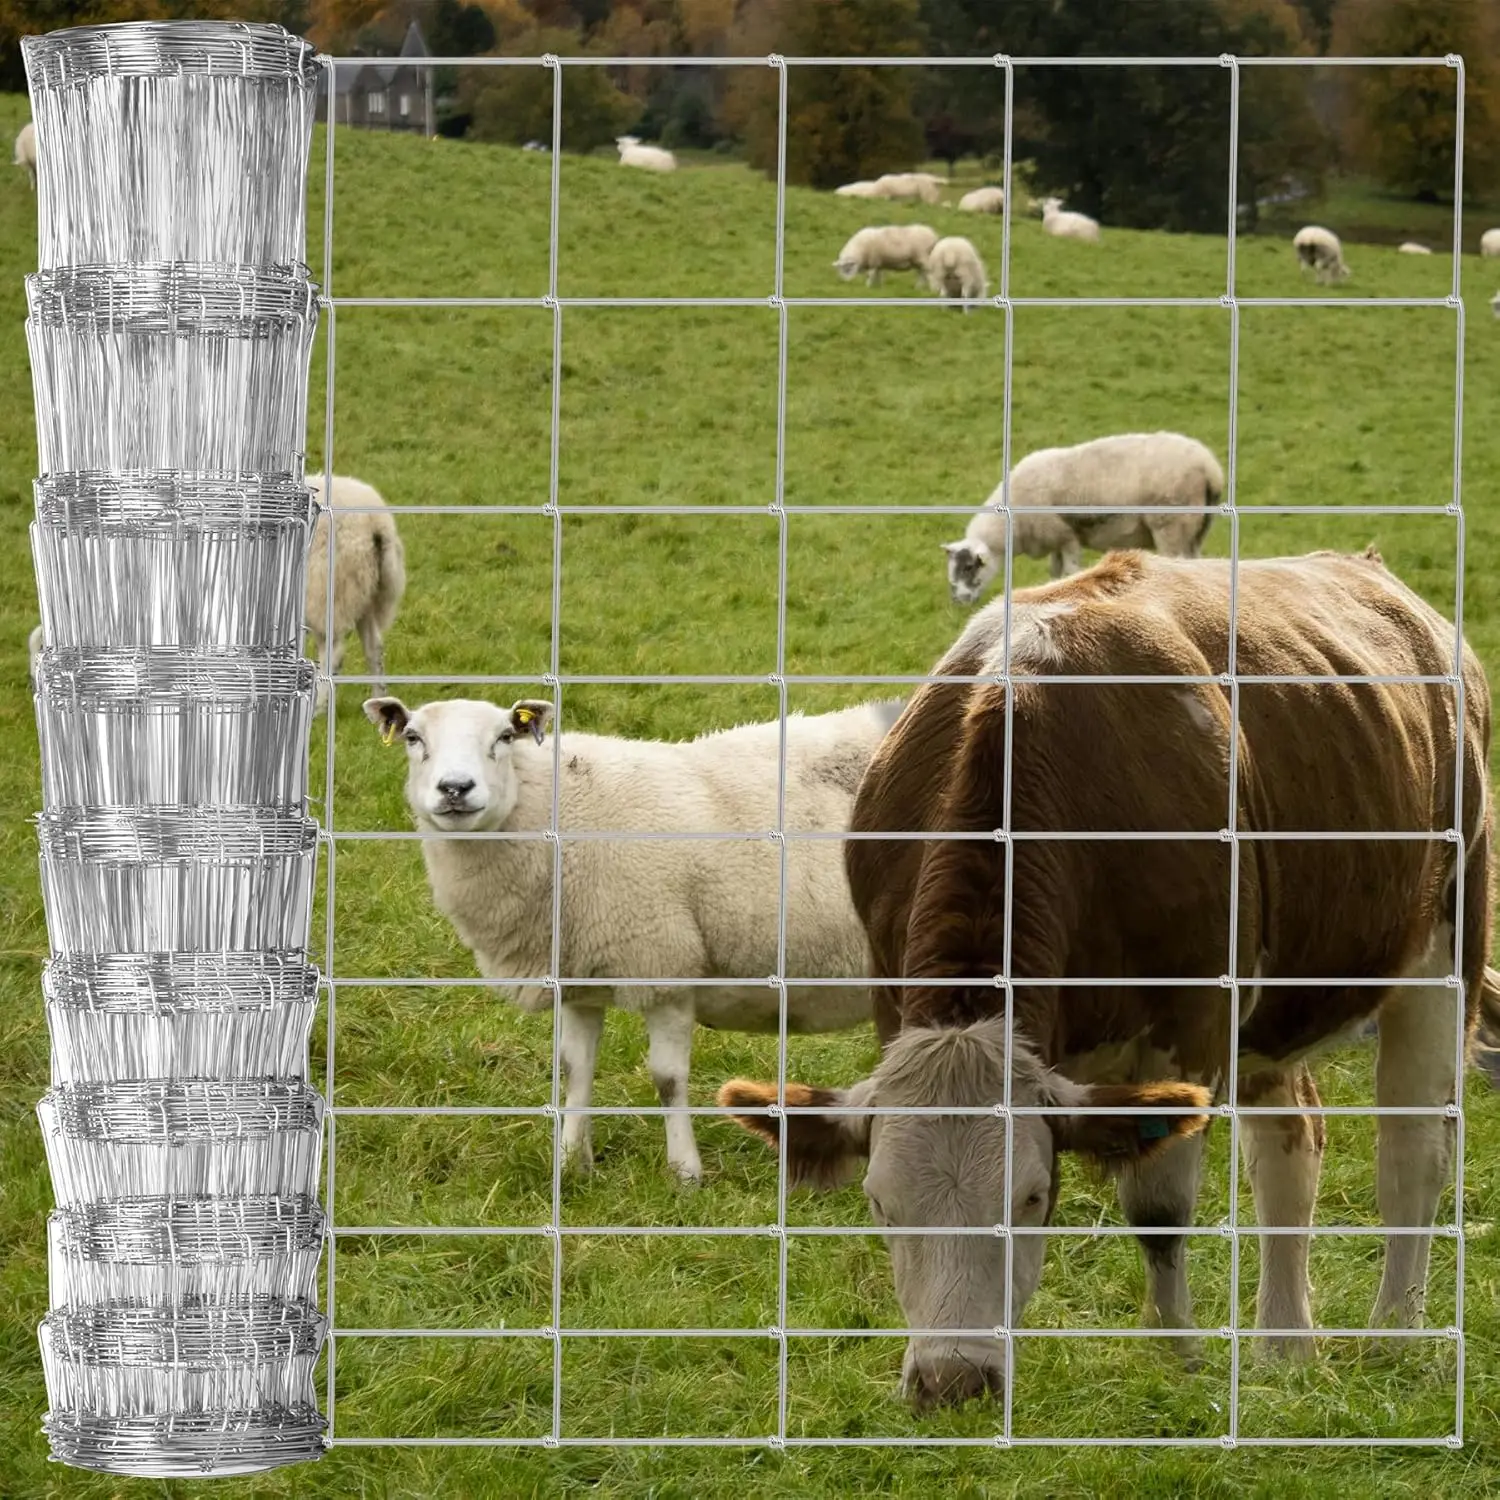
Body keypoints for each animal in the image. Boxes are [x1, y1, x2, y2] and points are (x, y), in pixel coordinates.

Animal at [719, 548, 1493, 1409]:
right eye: (882, 1205)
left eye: (1031, 1198)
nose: (952, 1382)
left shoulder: (1190, 1028)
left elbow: (1158, 1210)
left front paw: (1177, 1360)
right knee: (1290, 1148)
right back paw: (1284, 1347)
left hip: (1446, 943)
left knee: (1413, 1151)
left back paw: (1395, 1334)